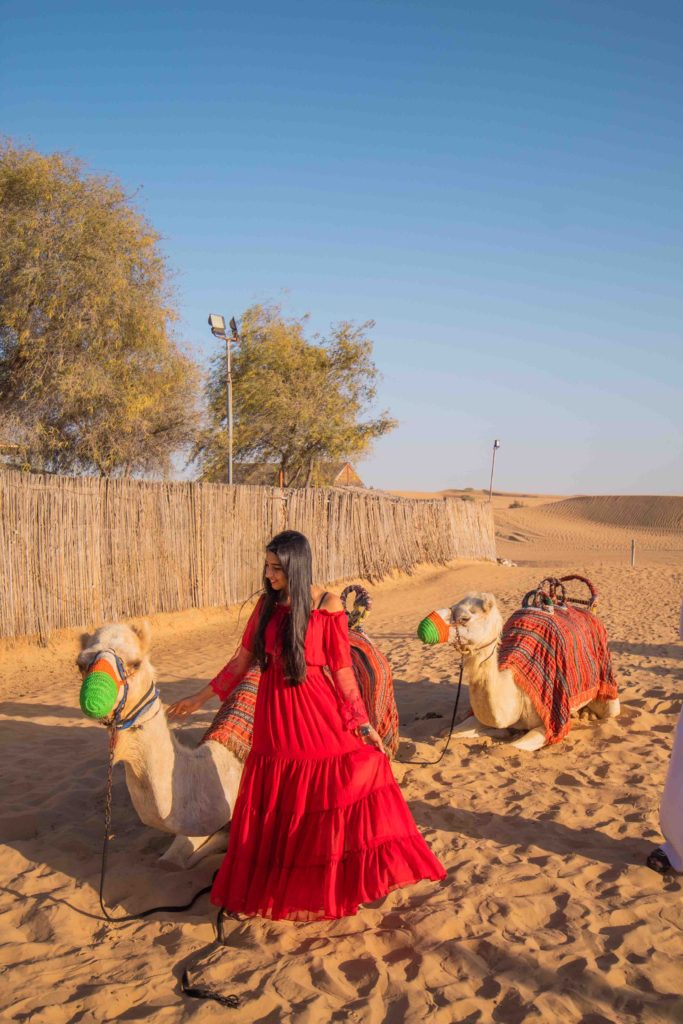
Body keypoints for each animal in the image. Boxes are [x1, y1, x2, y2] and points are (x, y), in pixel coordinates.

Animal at [417, 593, 618, 753]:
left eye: (465, 618)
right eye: (452, 607)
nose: (424, 626)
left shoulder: (550, 723)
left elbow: (506, 748)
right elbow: (447, 733)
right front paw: (499, 732)